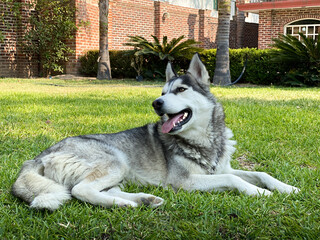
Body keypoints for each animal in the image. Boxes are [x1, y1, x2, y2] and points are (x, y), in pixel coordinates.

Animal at [10, 54, 300, 210]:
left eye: (180, 90)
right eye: (162, 92)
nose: (156, 103)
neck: (206, 141)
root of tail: (37, 157)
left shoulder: (222, 168)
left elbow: (260, 173)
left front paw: (287, 188)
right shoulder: (186, 182)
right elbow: (234, 180)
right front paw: (261, 193)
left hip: (118, 172)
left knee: (101, 190)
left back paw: (144, 199)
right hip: (115, 161)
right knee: (80, 191)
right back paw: (125, 205)